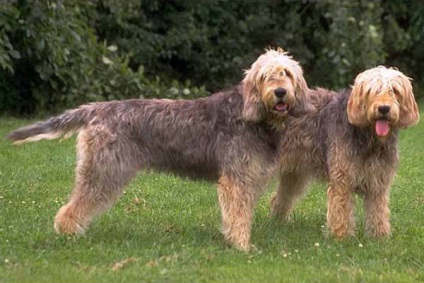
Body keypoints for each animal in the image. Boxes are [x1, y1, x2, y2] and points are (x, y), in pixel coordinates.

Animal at [7, 47, 314, 252]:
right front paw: (241, 246)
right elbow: (238, 214)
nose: (280, 92)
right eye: (265, 76)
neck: (255, 117)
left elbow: (241, 212)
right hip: (104, 172)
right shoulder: (235, 180)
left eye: (286, 73)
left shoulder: (247, 179)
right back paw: (68, 233)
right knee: (73, 206)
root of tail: (96, 108)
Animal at [270, 66, 420, 240]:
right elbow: (341, 211)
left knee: (280, 197)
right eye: (372, 90)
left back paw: (278, 221)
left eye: (394, 90)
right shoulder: (342, 179)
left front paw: (379, 237)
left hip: (294, 174)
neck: (369, 138)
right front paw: (341, 238)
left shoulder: (378, 182)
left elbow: (378, 212)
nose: (383, 108)